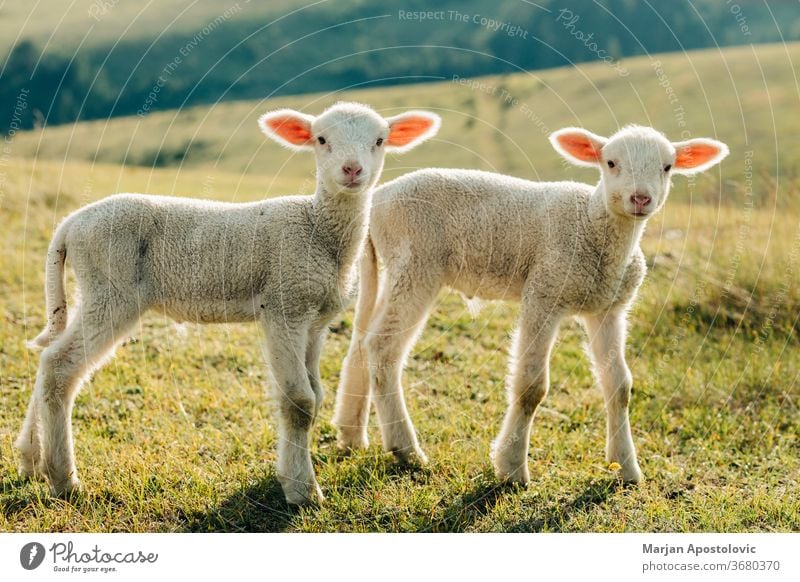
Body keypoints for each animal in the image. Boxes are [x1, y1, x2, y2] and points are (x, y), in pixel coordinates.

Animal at [18, 104, 440, 506]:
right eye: (321, 139)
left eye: (380, 141)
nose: (352, 170)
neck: (317, 228)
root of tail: (69, 225)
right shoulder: (284, 305)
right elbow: (299, 402)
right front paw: (302, 491)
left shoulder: (316, 320)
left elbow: (316, 397)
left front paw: (289, 476)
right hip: (111, 290)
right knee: (59, 367)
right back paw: (64, 480)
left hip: (96, 292)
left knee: (48, 358)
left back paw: (31, 459)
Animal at [334, 125, 728, 486]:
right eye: (611, 163)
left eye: (667, 166)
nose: (640, 198)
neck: (594, 225)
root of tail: (377, 200)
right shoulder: (543, 294)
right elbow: (531, 387)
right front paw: (511, 467)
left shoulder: (608, 310)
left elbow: (619, 387)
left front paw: (627, 467)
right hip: (417, 264)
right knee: (383, 347)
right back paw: (406, 448)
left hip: (390, 268)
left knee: (360, 343)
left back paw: (351, 432)